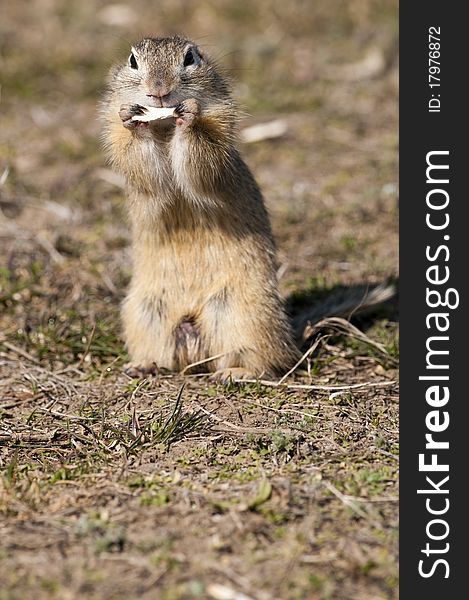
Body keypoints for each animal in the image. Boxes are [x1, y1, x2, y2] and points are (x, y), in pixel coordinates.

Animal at [100, 35, 302, 380]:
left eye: (190, 58)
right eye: (132, 61)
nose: (159, 90)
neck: (164, 126)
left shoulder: (219, 131)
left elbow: (202, 163)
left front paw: (189, 116)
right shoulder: (121, 143)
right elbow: (143, 167)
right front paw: (132, 119)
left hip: (245, 316)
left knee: (268, 361)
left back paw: (235, 373)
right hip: (144, 314)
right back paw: (142, 365)